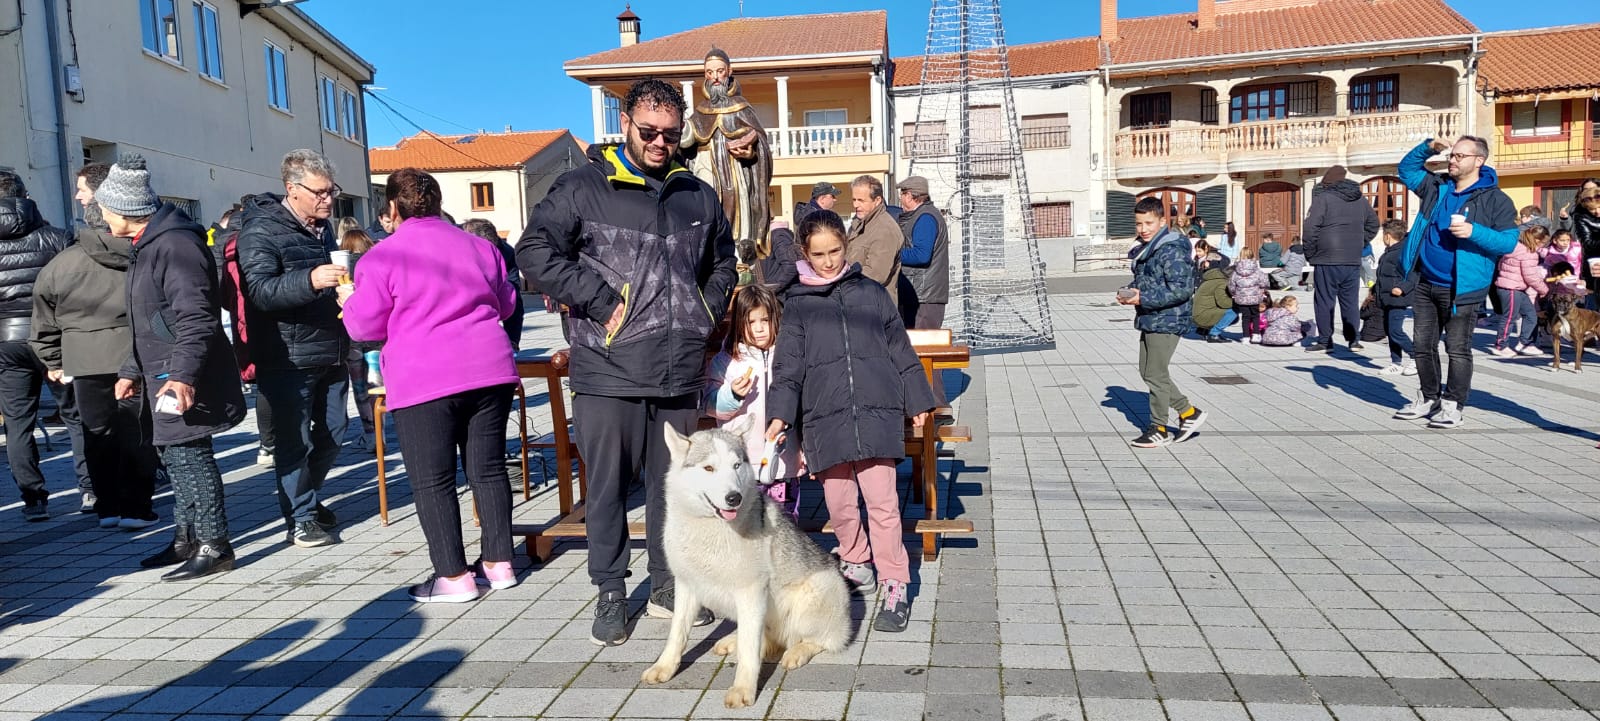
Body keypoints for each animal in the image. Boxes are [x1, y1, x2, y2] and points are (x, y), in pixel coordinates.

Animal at [643, 422, 857, 709]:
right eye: (709, 468)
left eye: (736, 466)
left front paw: (743, 688)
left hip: (816, 591)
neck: (710, 527)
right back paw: (734, 640)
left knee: (821, 640)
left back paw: (797, 651)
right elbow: (677, 633)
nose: (734, 498)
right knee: (766, 638)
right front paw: (664, 667)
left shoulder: (751, 593)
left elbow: (749, 652)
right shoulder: (687, 586)